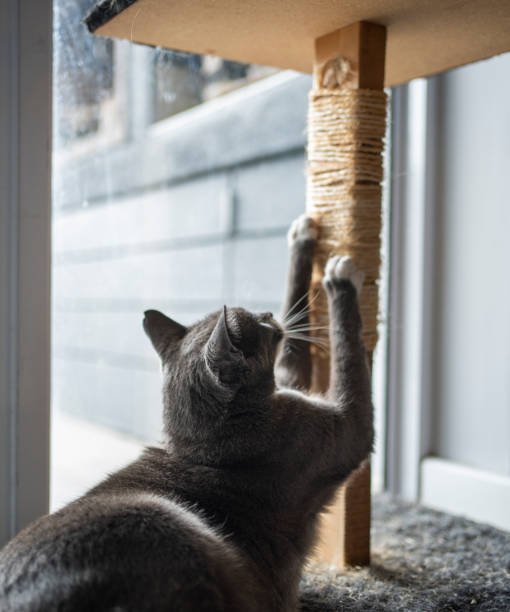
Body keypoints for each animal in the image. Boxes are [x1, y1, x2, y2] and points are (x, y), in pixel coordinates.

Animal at [0, 213, 372, 608]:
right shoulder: (338, 429)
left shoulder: (289, 386)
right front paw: (340, 276)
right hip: (172, 524)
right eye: (260, 325)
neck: (204, 440)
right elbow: (349, 355)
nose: (268, 313)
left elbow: (295, 337)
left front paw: (302, 235)